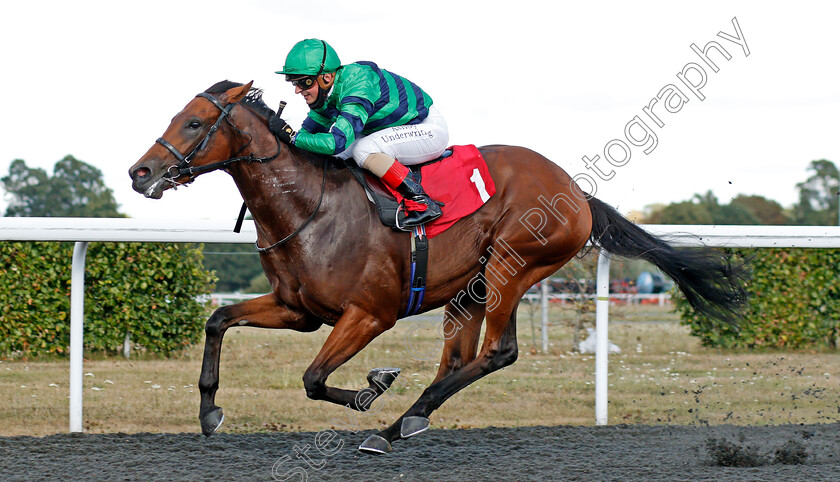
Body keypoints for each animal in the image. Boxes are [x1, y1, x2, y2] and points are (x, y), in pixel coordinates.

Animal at [128, 81, 744, 454]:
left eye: (193, 124)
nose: (140, 172)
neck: (309, 208)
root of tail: (577, 193)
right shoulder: (297, 309)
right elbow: (217, 321)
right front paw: (210, 413)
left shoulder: (370, 314)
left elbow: (313, 378)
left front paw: (371, 388)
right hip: (469, 288)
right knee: (458, 359)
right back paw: (406, 421)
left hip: (512, 265)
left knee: (497, 352)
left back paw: (392, 424)